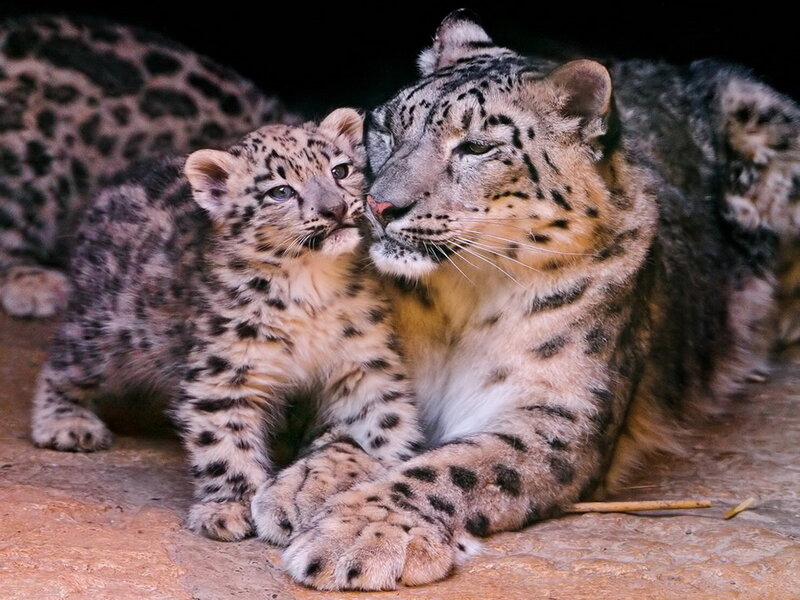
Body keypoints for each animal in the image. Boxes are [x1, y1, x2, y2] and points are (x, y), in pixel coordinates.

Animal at [29, 108, 423, 542]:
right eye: (280, 192)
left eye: (340, 170)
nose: (335, 208)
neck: (312, 284)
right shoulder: (225, 372)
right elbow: (224, 442)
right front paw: (229, 509)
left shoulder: (362, 360)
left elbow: (384, 419)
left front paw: (388, 465)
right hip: (106, 330)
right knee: (65, 360)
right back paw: (67, 423)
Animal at [261, 11, 799, 590]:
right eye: (386, 127)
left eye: (476, 147)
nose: (379, 205)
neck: (460, 303)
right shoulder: (375, 364)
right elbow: (354, 426)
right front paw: (301, 487)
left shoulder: (559, 409)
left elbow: (457, 466)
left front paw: (359, 532)